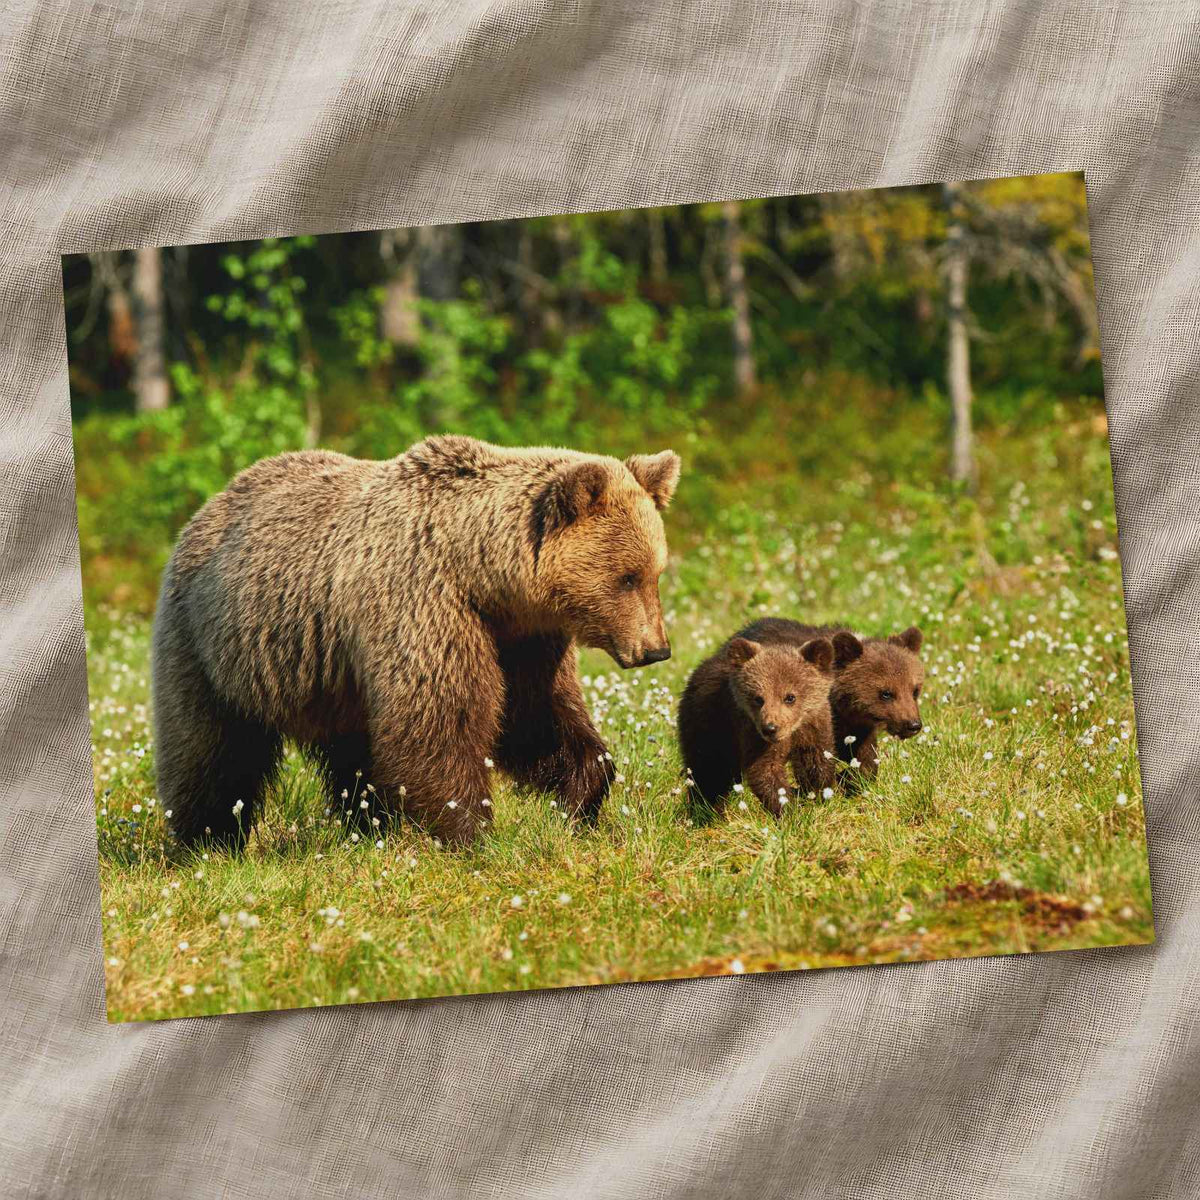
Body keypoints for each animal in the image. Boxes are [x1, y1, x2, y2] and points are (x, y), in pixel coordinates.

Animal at [151, 434, 681, 850]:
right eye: (627, 577)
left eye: (655, 572)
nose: (656, 649)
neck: (481, 573)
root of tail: (210, 505)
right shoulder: (423, 604)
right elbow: (439, 719)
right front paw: (472, 829)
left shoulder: (522, 637)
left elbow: (536, 717)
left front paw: (583, 794)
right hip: (211, 643)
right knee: (211, 749)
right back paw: (208, 840)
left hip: (331, 679)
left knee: (352, 757)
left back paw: (365, 826)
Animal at [677, 632, 836, 818]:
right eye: (758, 698)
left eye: (790, 697)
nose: (770, 728)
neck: (793, 730)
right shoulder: (750, 731)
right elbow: (765, 770)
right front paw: (787, 810)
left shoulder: (813, 726)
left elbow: (816, 760)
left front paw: (819, 796)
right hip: (709, 726)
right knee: (708, 772)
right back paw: (706, 811)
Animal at [736, 618, 924, 788]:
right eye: (886, 693)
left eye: (915, 690)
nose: (913, 725)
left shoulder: (857, 727)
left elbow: (865, 759)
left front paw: (851, 778)